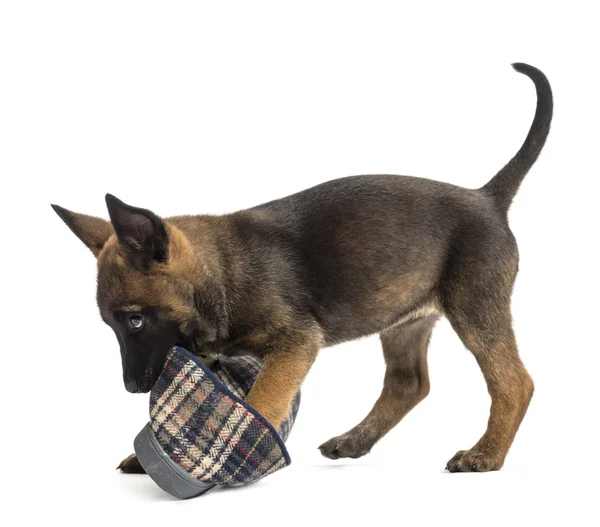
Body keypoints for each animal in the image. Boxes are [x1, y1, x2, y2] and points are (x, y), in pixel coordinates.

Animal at [51, 64, 552, 476]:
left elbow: (263, 398)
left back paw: (486, 454)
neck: (223, 272)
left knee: (514, 382)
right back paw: (355, 440)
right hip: (402, 318)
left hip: (475, 306)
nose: (133, 388)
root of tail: (487, 197)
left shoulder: (295, 343)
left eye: (135, 320)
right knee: (409, 383)